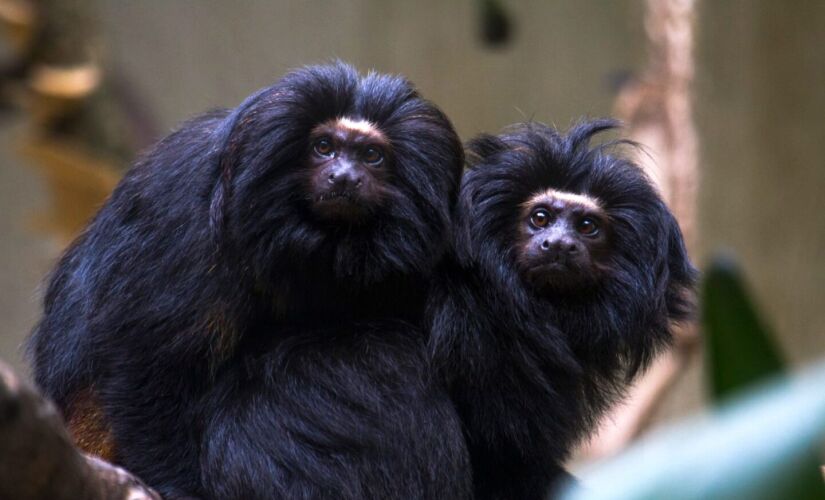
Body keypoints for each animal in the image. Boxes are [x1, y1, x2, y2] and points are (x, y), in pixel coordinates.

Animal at [27, 64, 470, 498]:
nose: (344, 176)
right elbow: (141, 357)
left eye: (372, 156)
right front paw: (177, 485)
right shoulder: (184, 221)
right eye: (324, 147)